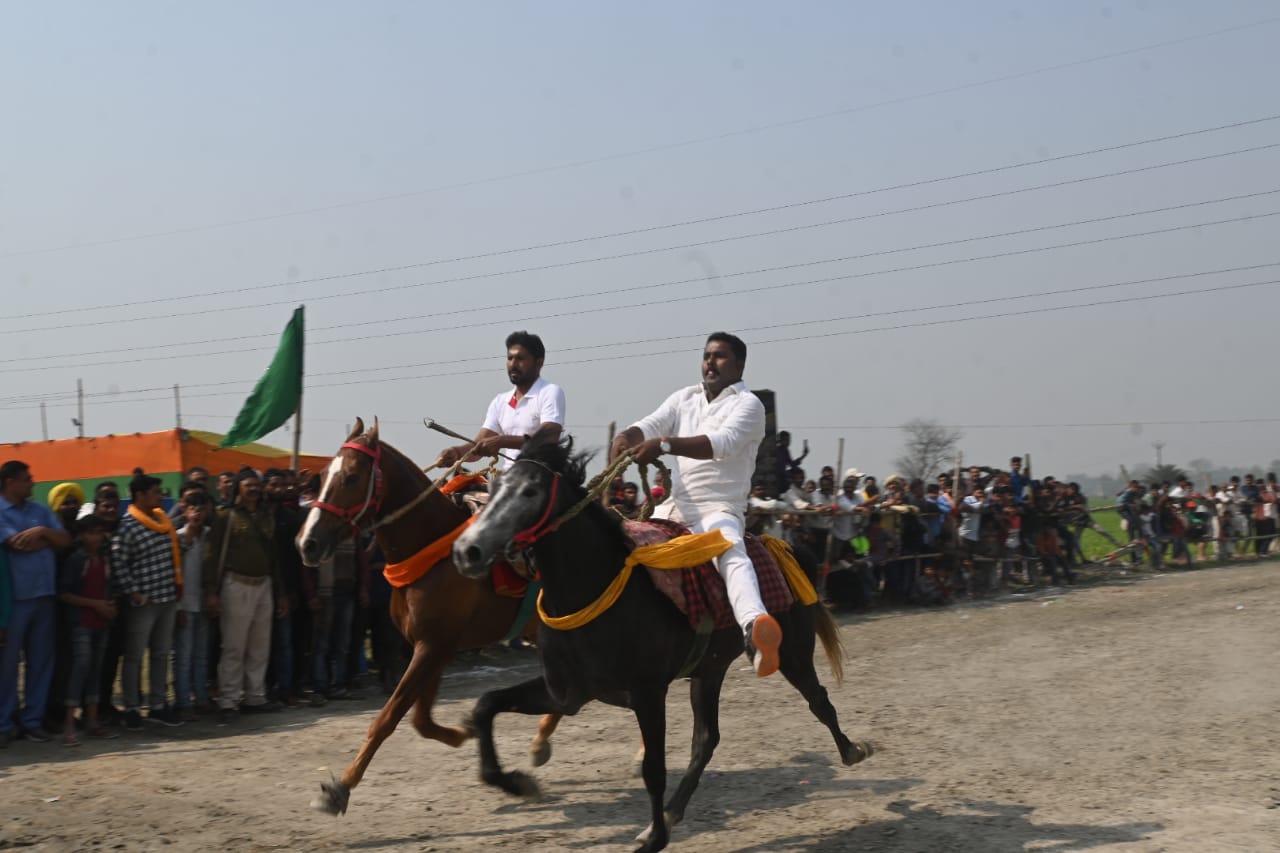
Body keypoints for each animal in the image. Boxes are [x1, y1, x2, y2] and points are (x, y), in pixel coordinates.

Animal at [299, 417, 560, 809]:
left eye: (351, 478)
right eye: (322, 476)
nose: (307, 543)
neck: (431, 552)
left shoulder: (433, 646)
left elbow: (388, 716)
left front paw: (340, 787)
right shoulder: (432, 646)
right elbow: (420, 720)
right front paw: (465, 732)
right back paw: (540, 743)